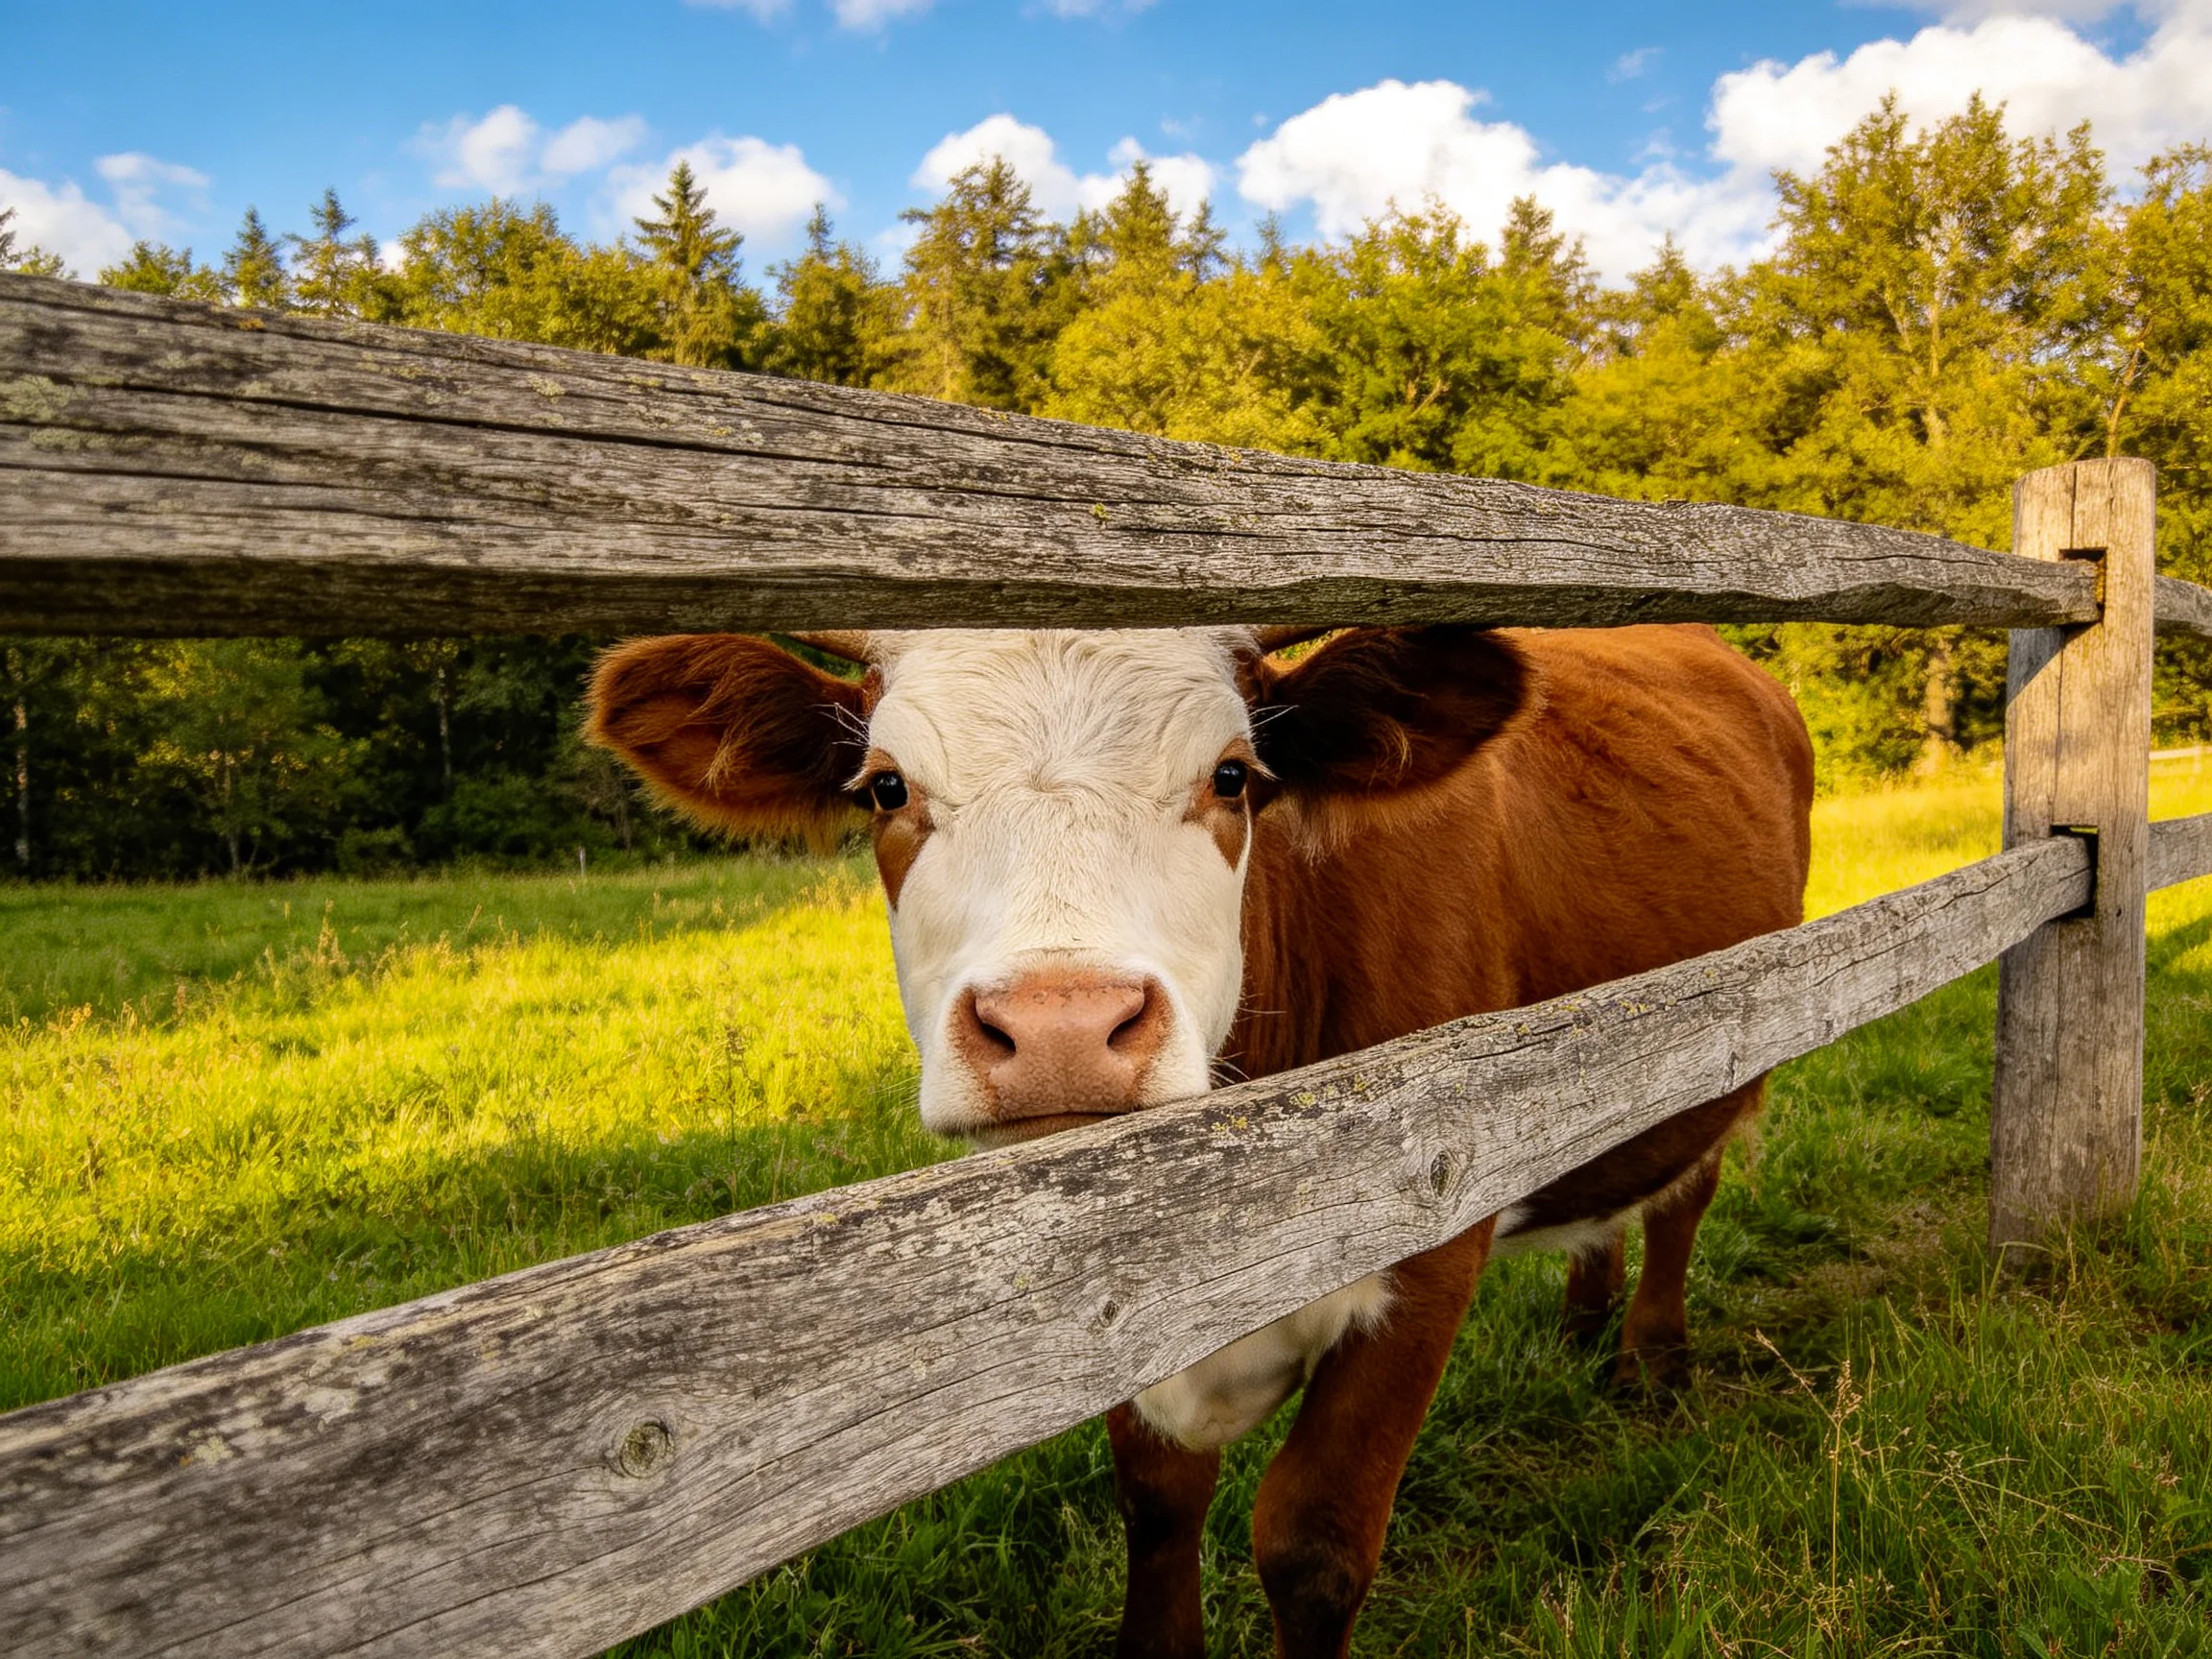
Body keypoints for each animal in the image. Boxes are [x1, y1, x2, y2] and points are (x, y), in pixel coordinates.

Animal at [586, 622, 1814, 1659]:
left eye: (1232, 776)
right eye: (887, 787)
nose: (1063, 1030)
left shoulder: (1436, 1226)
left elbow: (1313, 1546)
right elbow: (1160, 1505)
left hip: (1739, 1030)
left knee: (1687, 1194)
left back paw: (1652, 1359)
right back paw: (1581, 1327)